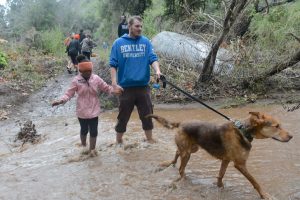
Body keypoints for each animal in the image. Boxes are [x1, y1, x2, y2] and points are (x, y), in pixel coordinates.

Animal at [148, 111, 292, 199]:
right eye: (276, 126)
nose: (291, 136)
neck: (244, 131)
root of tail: (181, 123)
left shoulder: (226, 160)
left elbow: (220, 176)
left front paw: (220, 188)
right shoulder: (240, 165)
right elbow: (255, 181)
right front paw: (264, 195)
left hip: (192, 149)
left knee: (178, 152)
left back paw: (169, 163)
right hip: (188, 153)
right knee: (181, 169)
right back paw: (184, 179)